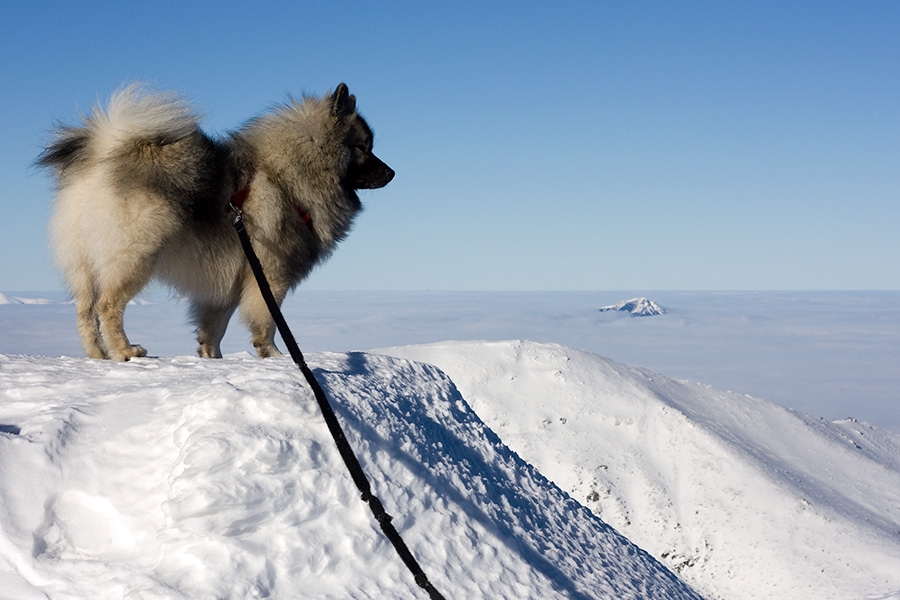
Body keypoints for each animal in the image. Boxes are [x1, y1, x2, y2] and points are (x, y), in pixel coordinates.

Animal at [37, 84, 394, 360]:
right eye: (364, 147)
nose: (392, 172)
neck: (286, 180)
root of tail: (103, 157)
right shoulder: (270, 275)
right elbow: (267, 322)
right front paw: (275, 355)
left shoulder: (226, 285)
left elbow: (213, 330)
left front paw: (212, 357)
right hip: (135, 258)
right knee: (108, 306)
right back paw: (125, 351)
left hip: (85, 266)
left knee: (84, 311)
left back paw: (97, 355)